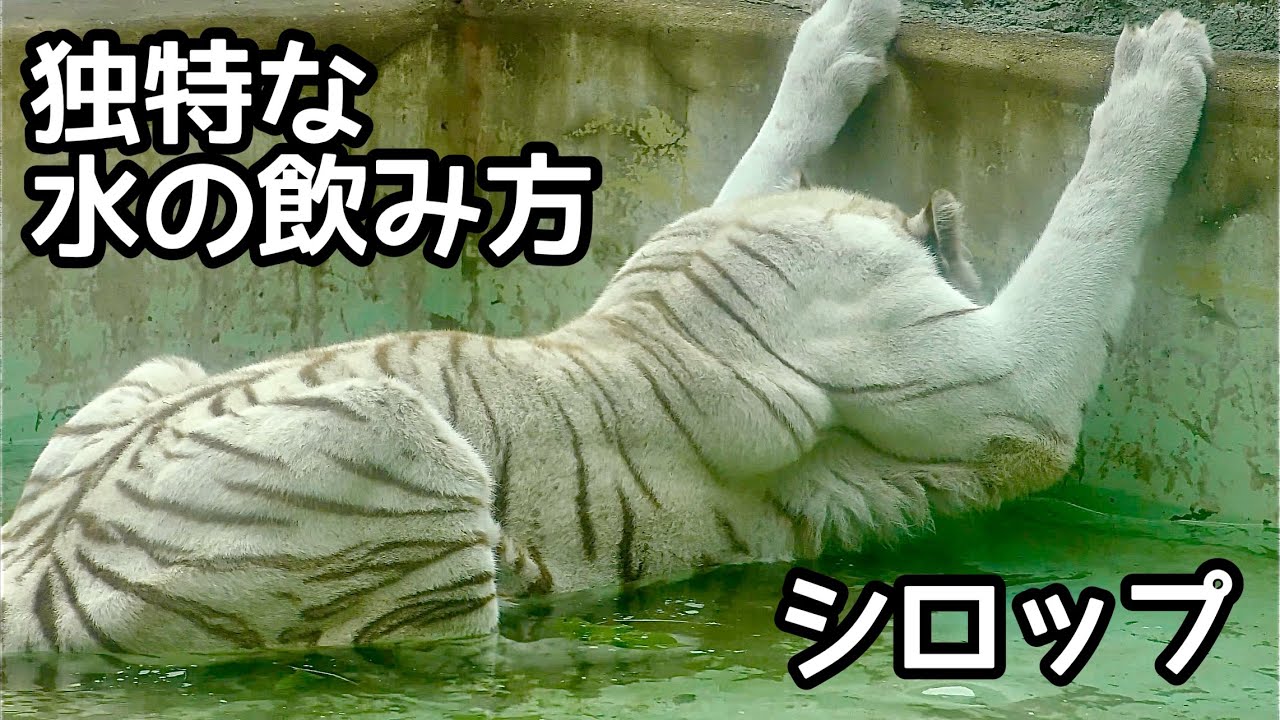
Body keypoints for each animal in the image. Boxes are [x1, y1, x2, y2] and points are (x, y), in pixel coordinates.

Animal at [0, 0, 1213, 655]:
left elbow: (757, 147)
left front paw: (838, 34)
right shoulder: (1013, 391)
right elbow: (1086, 223)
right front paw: (1162, 69)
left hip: (154, 371)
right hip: (395, 431)